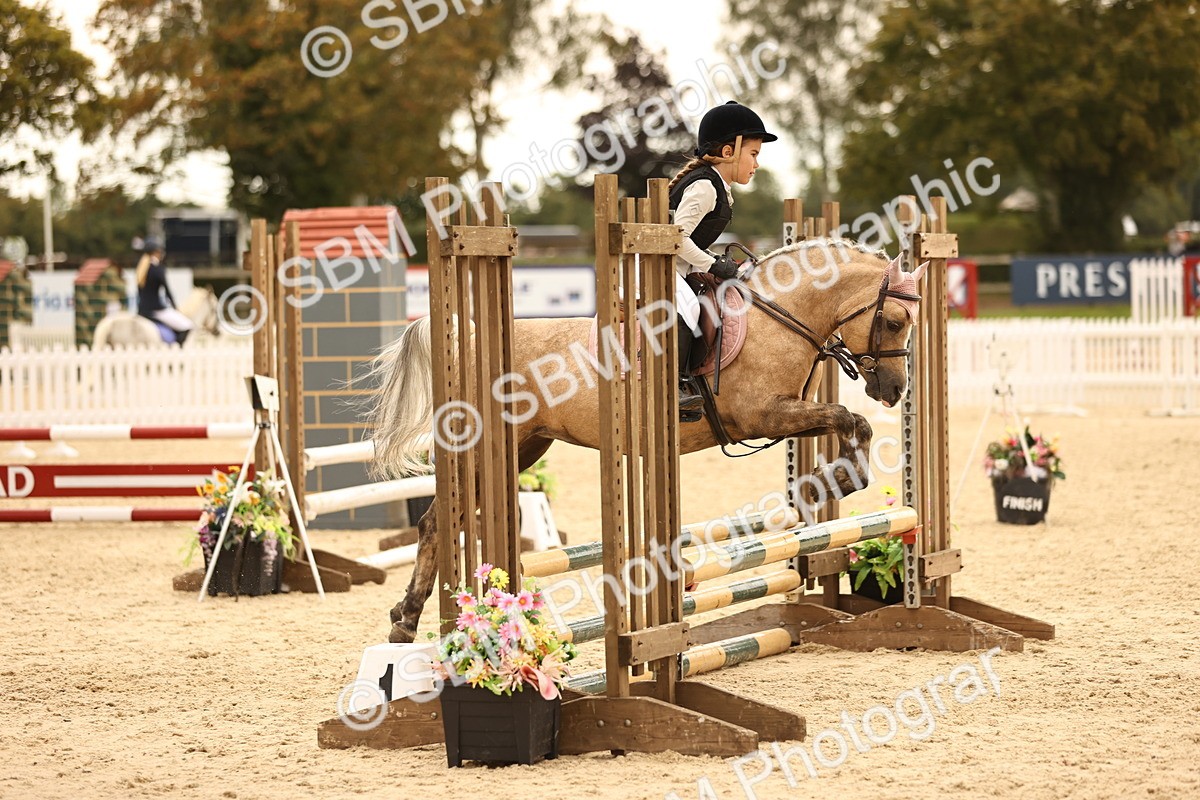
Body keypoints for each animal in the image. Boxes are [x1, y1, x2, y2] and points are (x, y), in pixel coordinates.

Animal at [366, 239, 928, 644]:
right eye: (893, 321)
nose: (893, 390)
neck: (781, 316)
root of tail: (467, 341)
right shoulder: (764, 415)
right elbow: (846, 417)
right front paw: (836, 480)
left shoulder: (785, 417)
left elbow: (853, 423)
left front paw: (827, 483)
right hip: (488, 448)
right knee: (437, 522)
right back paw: (409, 620)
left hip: (524, 448)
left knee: (443, 521)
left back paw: (406, 617)